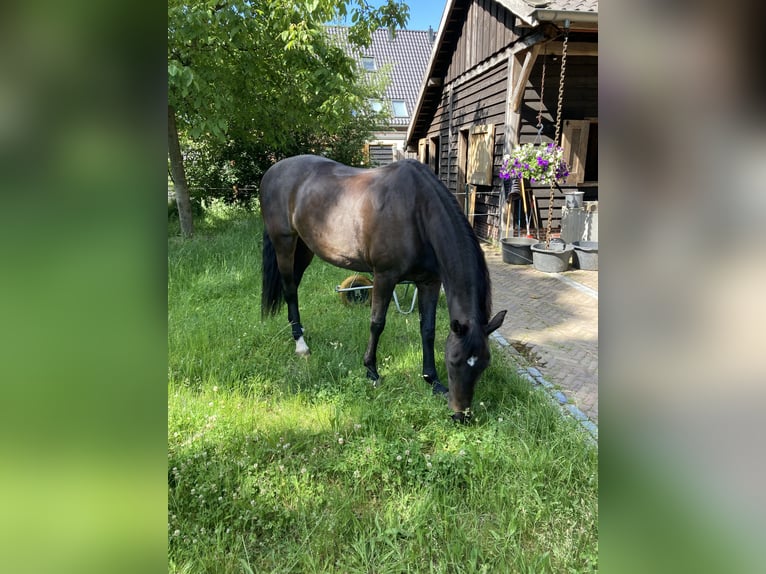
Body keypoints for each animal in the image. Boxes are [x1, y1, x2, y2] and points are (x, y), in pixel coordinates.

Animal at [260, 155, 508, 420]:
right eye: (453, 360)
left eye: (484, 364)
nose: (461, 415)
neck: (417, 212)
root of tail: (273, 171)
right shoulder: (384, 277)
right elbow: (377, 323)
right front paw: (372, 371)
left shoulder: (430, 282)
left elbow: (428, 330)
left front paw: (432, 380)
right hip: (284, 243)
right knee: (289, 290)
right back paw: (301, 344)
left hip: (305, 247)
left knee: (293, 287)